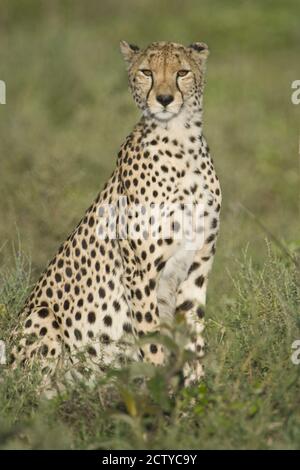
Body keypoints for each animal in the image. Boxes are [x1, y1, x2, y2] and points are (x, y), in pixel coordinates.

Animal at [9, 41, 220, 386]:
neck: (180, 140)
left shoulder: (196, 268)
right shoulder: (140, 272)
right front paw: (161, 392)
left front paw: (197, 394)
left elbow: (193, 339)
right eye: (146, 72)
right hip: (42, 316)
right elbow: (152, 340)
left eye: (182, 72)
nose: (164, 99)